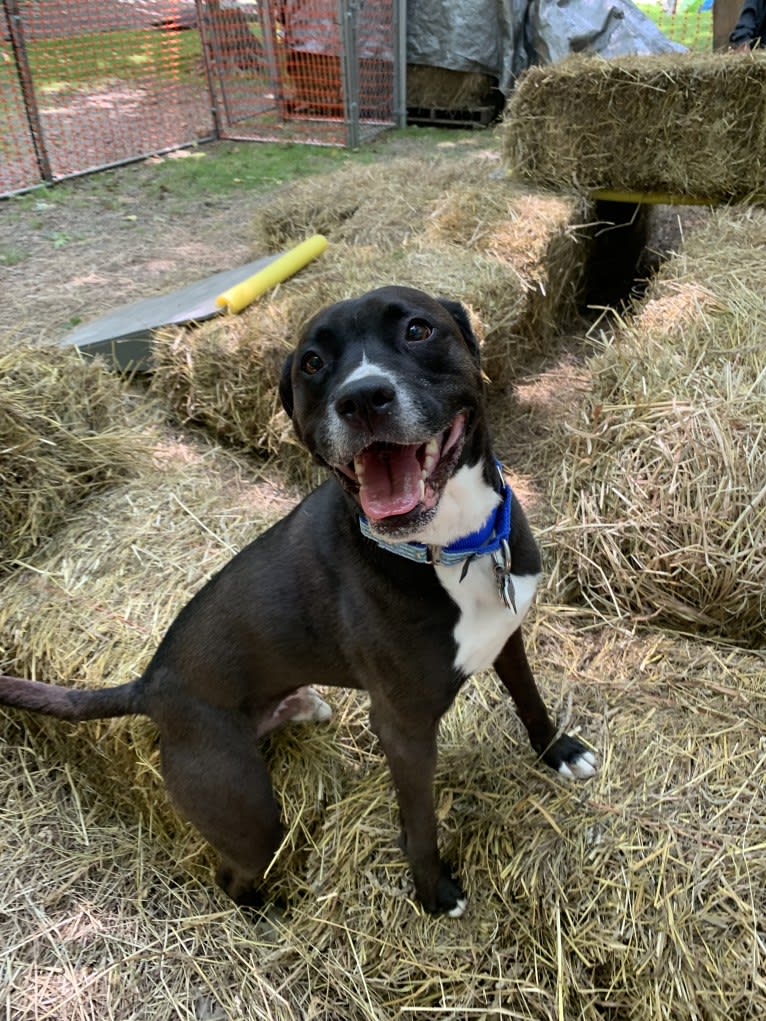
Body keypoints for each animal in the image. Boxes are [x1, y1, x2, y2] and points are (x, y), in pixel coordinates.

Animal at [0, 285, 596, 918]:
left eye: (417, 329)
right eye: (312, 363)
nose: (362, 398)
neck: (452, 548)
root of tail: (151, 683)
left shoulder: (507, 635)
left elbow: (530, 700)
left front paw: (558, 751)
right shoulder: (404, 729)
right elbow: (420, 823)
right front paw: (433, 891)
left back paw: (303, 708)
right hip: (246, 810)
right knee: (234, 875)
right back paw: (270, 910)